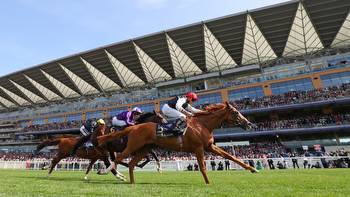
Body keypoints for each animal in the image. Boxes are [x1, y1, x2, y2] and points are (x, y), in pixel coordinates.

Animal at [97, 102, 258, 184]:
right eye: (236, 112)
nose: (250, 124)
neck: (202, 125)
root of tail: (134, 126)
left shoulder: (210, 146)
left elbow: (230, 156)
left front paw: (252, 169)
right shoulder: (199, 148)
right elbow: (202, 167)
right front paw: (208, 183)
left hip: (144, 149)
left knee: (131, 163)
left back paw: (132, 181)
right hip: (133, 146)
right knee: (118, 158)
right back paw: (106, 172)